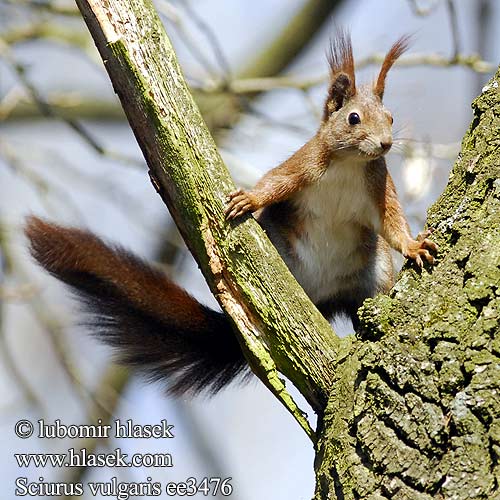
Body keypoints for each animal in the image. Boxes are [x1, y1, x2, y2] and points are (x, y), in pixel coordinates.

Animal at [25, 33, 436, 396]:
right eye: (353, 118)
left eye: (390, 117)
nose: (386, 143)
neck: (350, 164)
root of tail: (321, 296)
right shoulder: (305, 165)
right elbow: (275, 182)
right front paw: (249, 200)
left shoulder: (378, 186)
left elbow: (393, 223)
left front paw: (414, 246)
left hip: (373, 269)